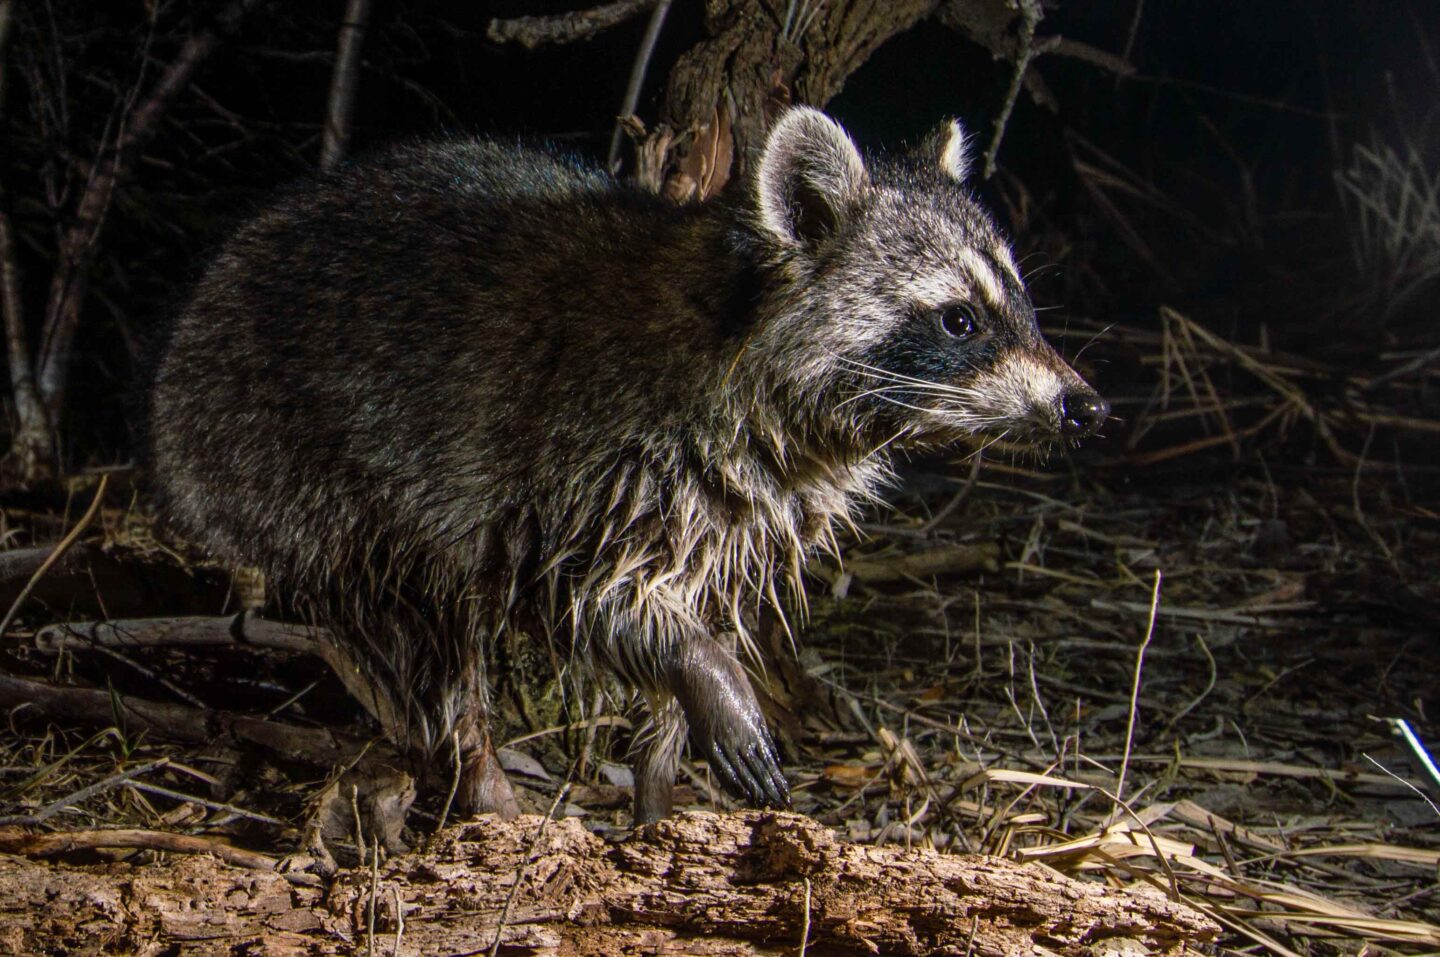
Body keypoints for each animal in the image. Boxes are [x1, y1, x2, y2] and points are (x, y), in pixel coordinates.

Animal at [148, 107, 1106, 824]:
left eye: (1020, 301)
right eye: (959, 320)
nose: (1084, 407)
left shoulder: (741, 509)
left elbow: (683, 615)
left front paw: (660, 781)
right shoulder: (593, 454)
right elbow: (587, 592)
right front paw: (707, 674)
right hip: (293, 455)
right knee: (418, 631)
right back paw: (472, 768)